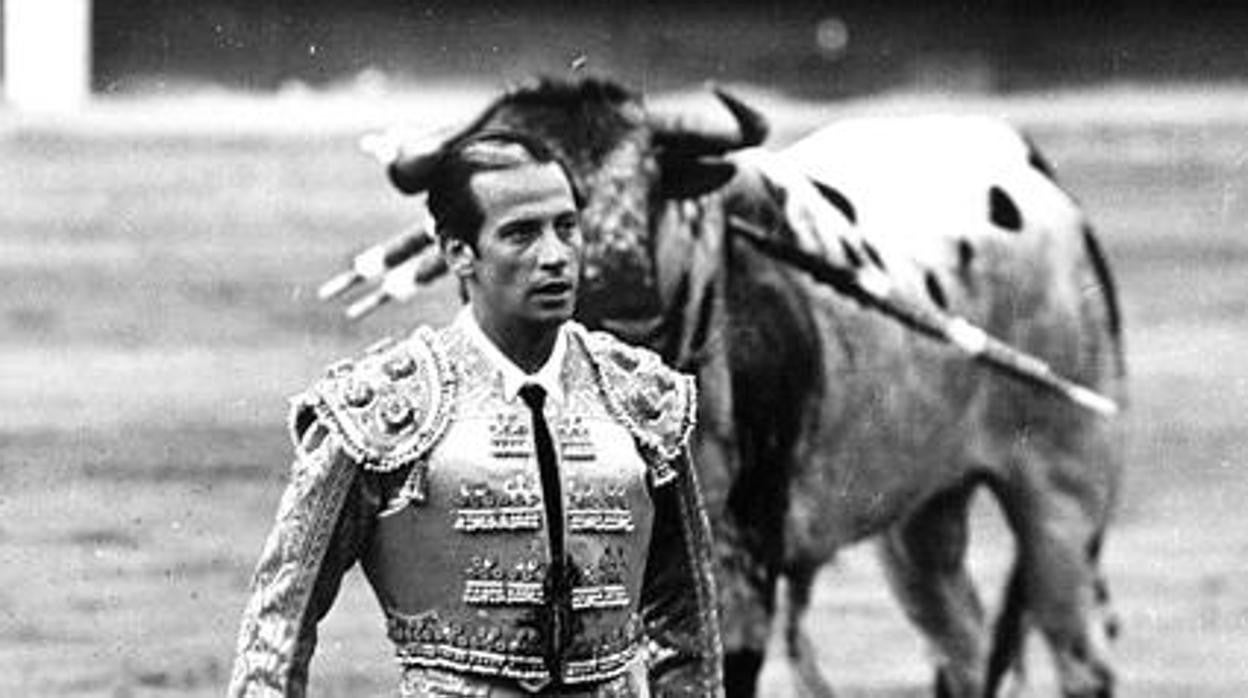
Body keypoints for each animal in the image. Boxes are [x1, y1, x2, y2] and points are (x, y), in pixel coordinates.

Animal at [316, 77, 1128, 698]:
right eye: (528, 221)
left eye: (648, 182)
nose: (628, 303)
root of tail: (1037, 174)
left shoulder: (745, 549)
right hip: (923, 516)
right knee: (960, 638)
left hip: (1063, 494)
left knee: (1080, 653)